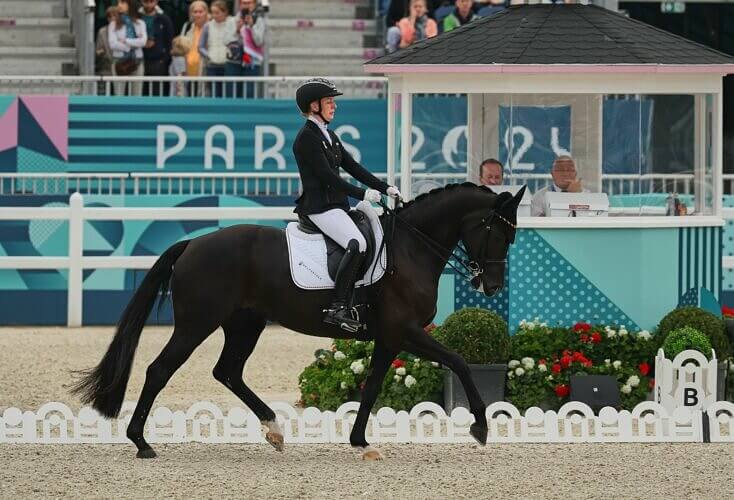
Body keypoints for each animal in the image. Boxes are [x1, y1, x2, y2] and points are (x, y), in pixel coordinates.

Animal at [72, 182, 528, 458]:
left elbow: (372, 387)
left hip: (246, 323)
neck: (411, 248)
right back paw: (141, 441)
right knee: (159, 370)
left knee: (228, 371)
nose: (491, 285)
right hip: (197, 324)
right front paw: (480, 426)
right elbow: (460, 361)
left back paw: (274, 429)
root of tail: (192, 244)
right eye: (498, 232)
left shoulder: (390, 338)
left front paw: (360, 442)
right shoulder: (406, 331)